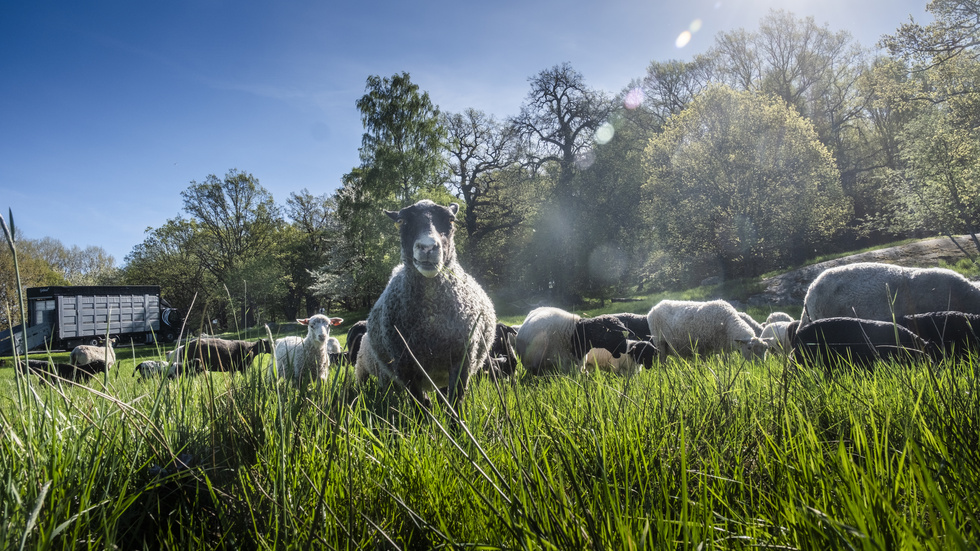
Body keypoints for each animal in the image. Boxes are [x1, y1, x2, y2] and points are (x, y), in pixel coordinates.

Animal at [360, 201, 498, 412]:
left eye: (451, 220)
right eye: (401, 221)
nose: (427, 247)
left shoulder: (462, 360)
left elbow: (454, 404)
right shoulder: (405, 366)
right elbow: (421, 407)